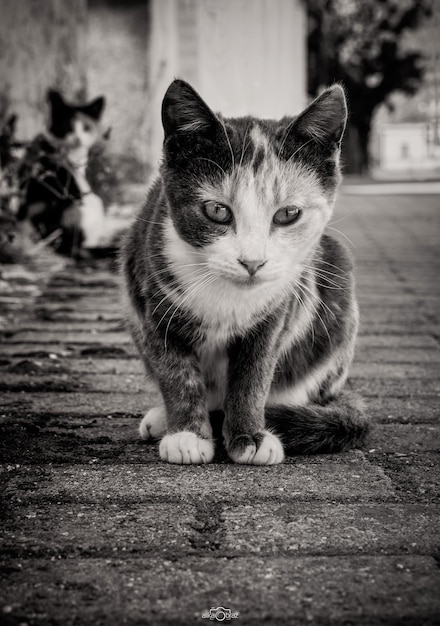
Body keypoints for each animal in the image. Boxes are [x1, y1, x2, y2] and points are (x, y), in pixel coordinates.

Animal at [120, 78, 368, 464]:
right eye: (217, 210)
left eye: (288, 214)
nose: (253, 262)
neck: (227, 295)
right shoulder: (150, 300)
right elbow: (176, 372)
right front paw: (188, 435)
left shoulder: (277, 311)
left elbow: (253, 374)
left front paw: (249, 435)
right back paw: (168, 419)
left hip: (336, 280)